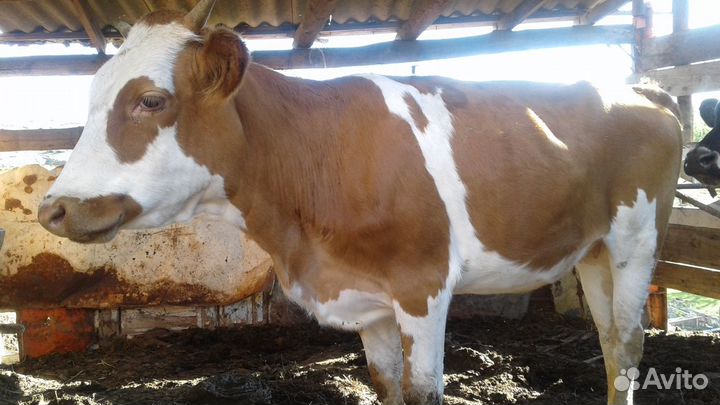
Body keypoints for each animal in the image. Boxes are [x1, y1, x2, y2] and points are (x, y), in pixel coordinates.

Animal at [36, 1, 682, 404]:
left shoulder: (423, 286)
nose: (53, 210)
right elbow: (386, 385)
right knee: (608, 343)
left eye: (150, 100)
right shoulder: (367, 303)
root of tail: (641, 91)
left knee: (628, 345)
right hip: (592, 251)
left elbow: (423, 392)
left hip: (635, 242)